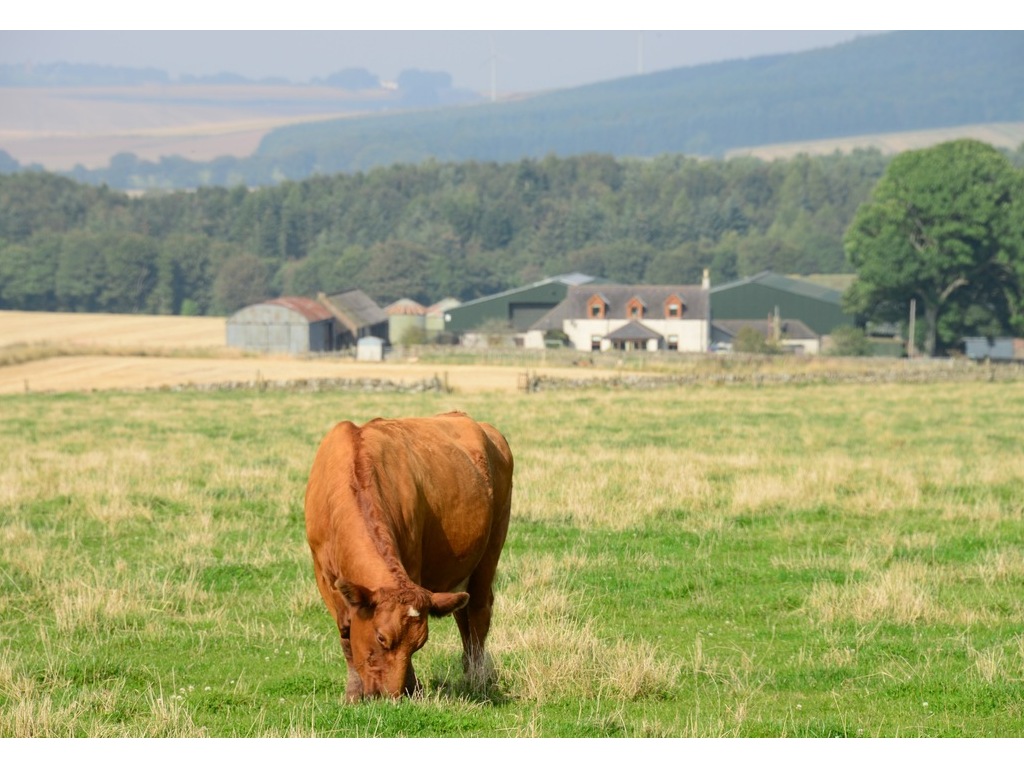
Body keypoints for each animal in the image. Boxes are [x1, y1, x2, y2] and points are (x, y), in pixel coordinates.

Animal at [301, 415, 512, 704]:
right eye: (381, 638)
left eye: (418, 645)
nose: (389, 697)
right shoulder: (323, 575)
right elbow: (345, 634)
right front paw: (353, 693)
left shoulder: (412, 563)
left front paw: (413, 688)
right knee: (463, 614)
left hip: (491, 550)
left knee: (479, 611)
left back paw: (476, 676)